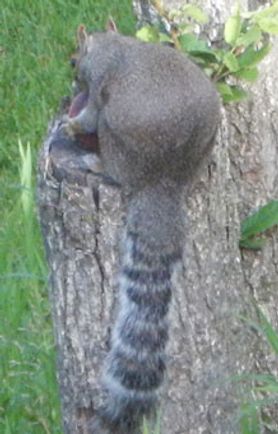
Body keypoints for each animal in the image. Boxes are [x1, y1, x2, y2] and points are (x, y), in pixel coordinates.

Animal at [64, 19, 220, 434]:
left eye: (74, 62)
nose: (72, 83)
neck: (113, 44)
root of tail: (163, 182)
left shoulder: (99, 87)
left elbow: (87, 116)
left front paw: (70, 125)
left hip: (116, 135)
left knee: (111, 160)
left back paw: (94, 161)